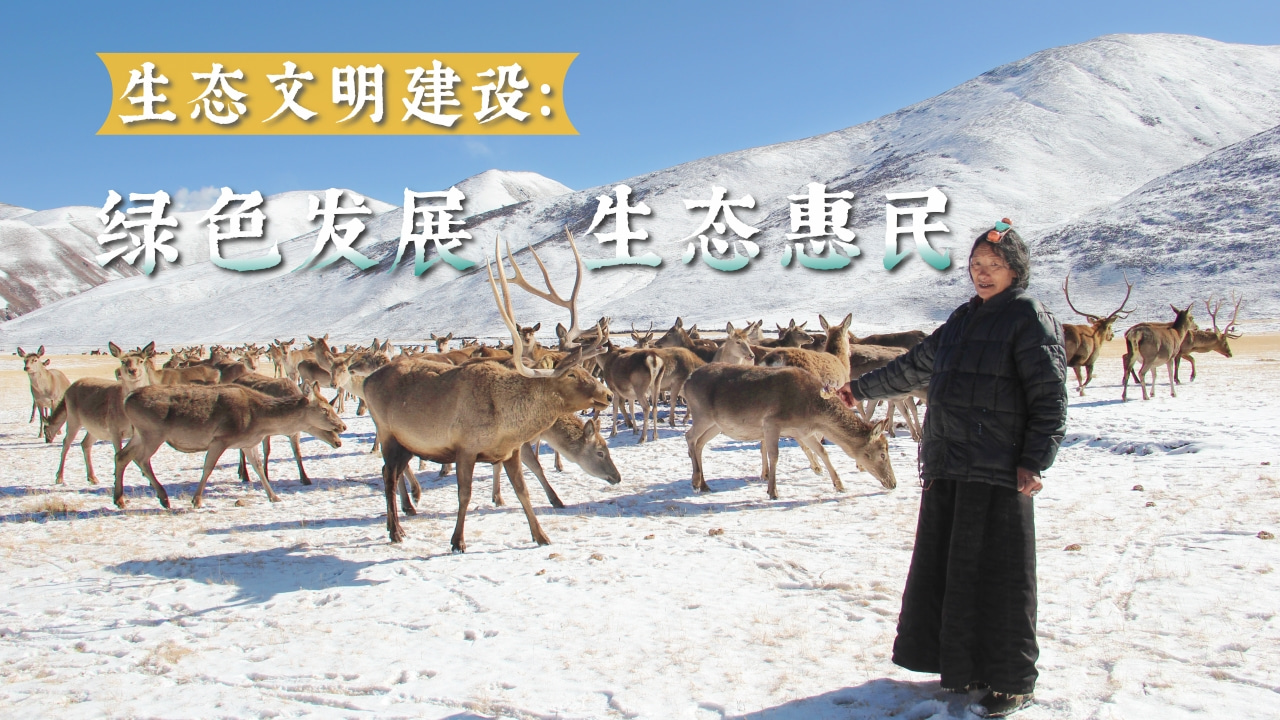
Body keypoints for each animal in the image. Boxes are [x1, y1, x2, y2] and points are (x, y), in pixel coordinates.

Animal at [113, 381, 345, 509]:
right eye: (325, 410)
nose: (342, 427)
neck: (259, 421)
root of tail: (126, 399)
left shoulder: (247, 443)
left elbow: (258, 468)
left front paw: (274, 497)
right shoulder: (220, 438)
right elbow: (208, 468)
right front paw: (197, 500)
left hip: (139, 434)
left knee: (122, 456)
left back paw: (120, 499)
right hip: (152, 432)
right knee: (140, 459)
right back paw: (163, 498)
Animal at [362, 230, 612, 551]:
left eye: (584, 369)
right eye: (570, 373)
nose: (607, 394)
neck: (507, 422)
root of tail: (367, 381)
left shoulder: (510, 451)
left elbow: (523, 490)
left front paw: (541, 535)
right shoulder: (465, 448)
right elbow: (465, 494)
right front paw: (457, 540)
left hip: (407, 441)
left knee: (390, 471)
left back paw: (405, 513)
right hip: (387, 432)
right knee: (387, 475)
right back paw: (395, 529)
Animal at [683, 364, 897, 500]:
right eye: (883, 454)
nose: (893, 483)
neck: (812, 412)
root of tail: (687, 381)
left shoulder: (803, 432)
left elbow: (822, 451)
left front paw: (840, 485)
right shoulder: (771, 422)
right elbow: (774, 455)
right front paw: (773, 492)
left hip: (716, 425)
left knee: (700, 443)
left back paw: (704, 484)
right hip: (702, 414)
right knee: (689, 436)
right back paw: (695, 481)